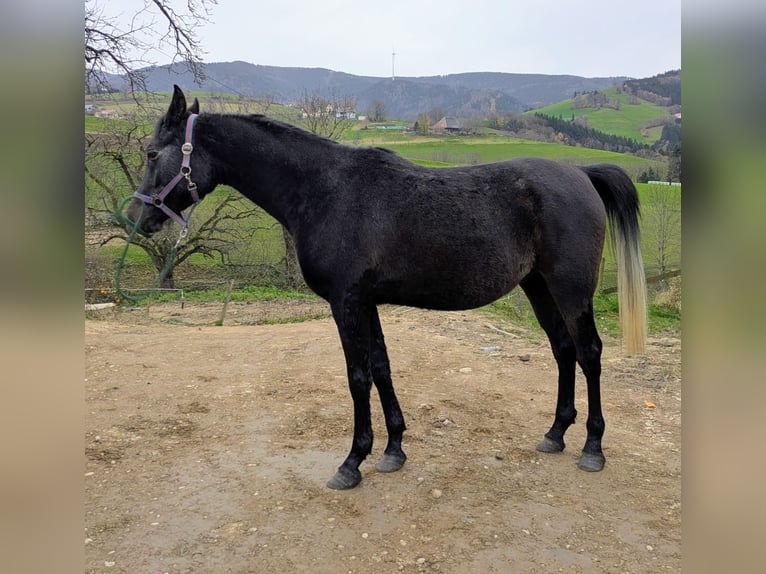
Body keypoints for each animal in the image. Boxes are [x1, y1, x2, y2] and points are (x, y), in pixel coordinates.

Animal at [125, 85, 647, 490]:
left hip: (571, 291)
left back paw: (592, 447)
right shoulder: (366, 302)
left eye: (152, 153)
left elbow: (357, 377)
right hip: (539, 287)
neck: (325, 189)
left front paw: (352, 462)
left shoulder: (345, 303)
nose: (135, 218)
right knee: (563, 350)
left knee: (590, 353)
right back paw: (556, 433)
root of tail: (581, 174)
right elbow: (381, 369)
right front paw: (394, 449)